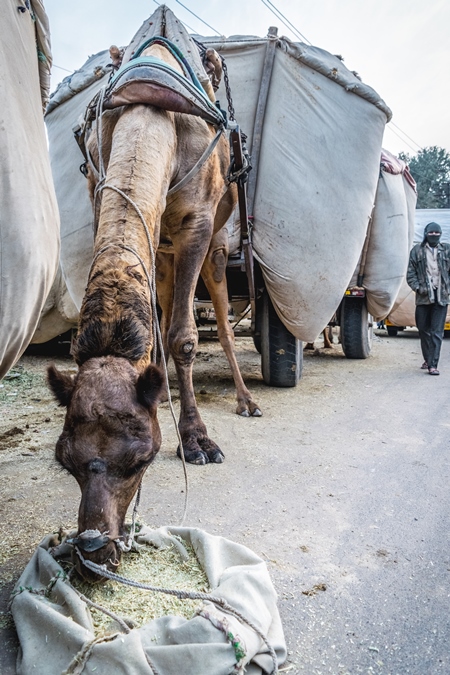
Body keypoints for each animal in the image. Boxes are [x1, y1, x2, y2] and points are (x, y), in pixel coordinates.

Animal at [46, 37, 260, 580]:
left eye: (141, 460)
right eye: (66, 461)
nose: (94, 550)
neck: (152, 114)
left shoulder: (197, 224)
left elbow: (185, 335)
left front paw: (197, 441)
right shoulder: (104, 199)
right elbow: (161, 328)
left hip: (216, 247)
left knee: (223, 321)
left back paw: (247, 400)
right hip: (160, 249)